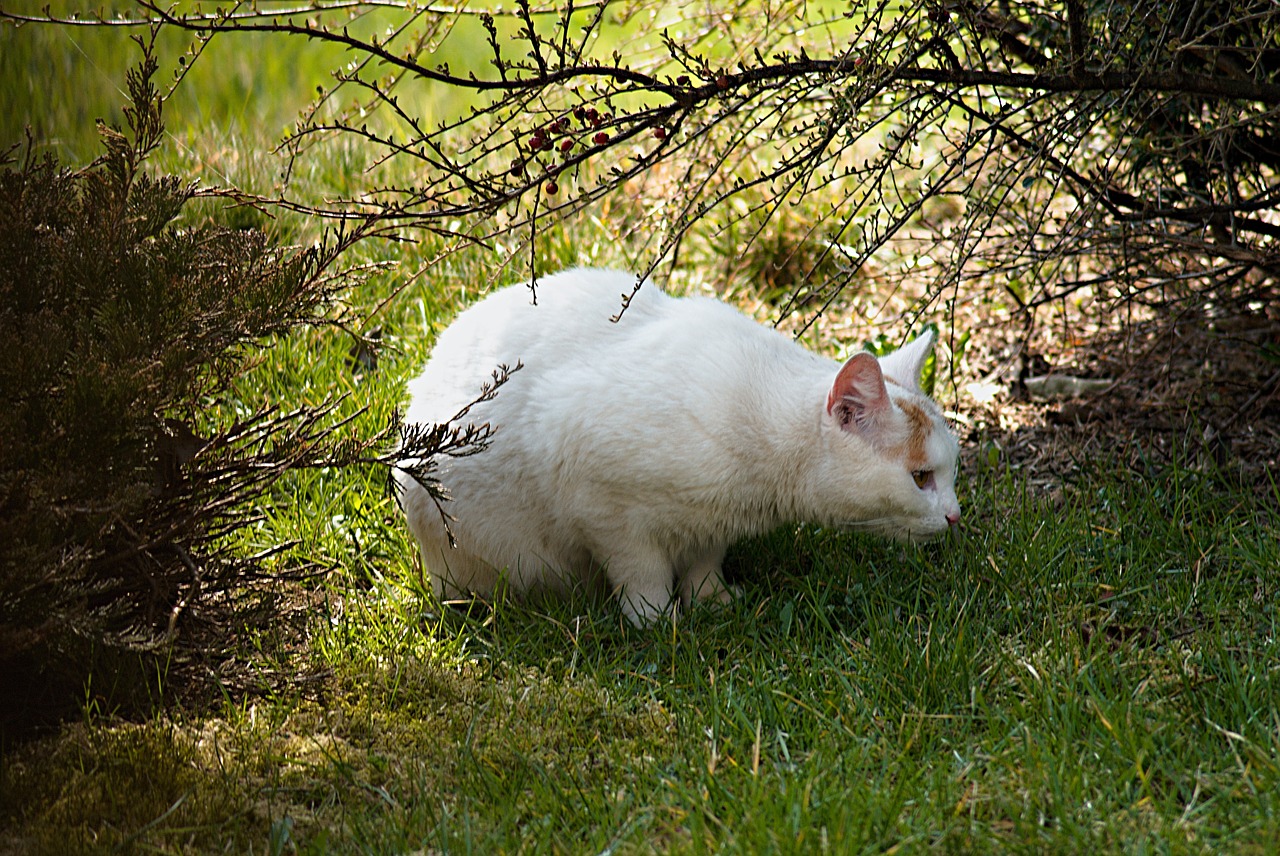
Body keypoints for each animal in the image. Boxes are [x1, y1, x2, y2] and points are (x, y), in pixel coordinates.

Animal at [399, 269, 962, 624]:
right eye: (920, 478)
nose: (957, 516)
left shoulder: (714, 522)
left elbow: (703, 561)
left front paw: (713, 602)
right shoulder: (601, 503)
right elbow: (641, 571)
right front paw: (658, 621)